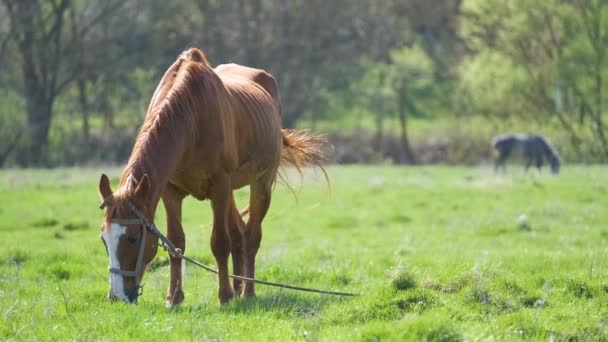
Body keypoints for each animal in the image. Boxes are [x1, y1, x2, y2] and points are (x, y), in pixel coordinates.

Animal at [98, 47, 328, 304]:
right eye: (104, 238)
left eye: (133, 238)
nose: (117, 296)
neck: (190, 120)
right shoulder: (170, 191)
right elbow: (176, 242)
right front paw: (174, 298)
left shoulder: (219, 185)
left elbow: (219, 242)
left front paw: (225, 296)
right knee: (238, 233)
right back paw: (239, 286)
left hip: (260, 183)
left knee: (250, 236)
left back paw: (247, 291)